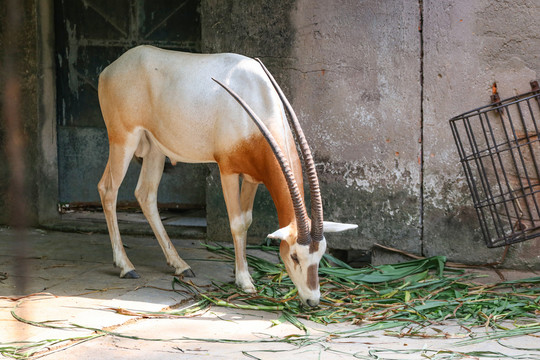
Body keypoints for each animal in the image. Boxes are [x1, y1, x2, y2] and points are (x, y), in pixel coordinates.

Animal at [97, 45, 358, 306]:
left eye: (321, 254)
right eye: (294, 256)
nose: (312, 300)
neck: (256, 93)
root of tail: (110, 70)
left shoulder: (253, 177)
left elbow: (248, 220)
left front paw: (240, 273)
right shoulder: (228, 170)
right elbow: (237, 223)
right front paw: (245, 281)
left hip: (154, 150)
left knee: (146, 194)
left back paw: (180, 265)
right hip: (123, 140)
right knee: (108, 188)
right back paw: (126, 266)